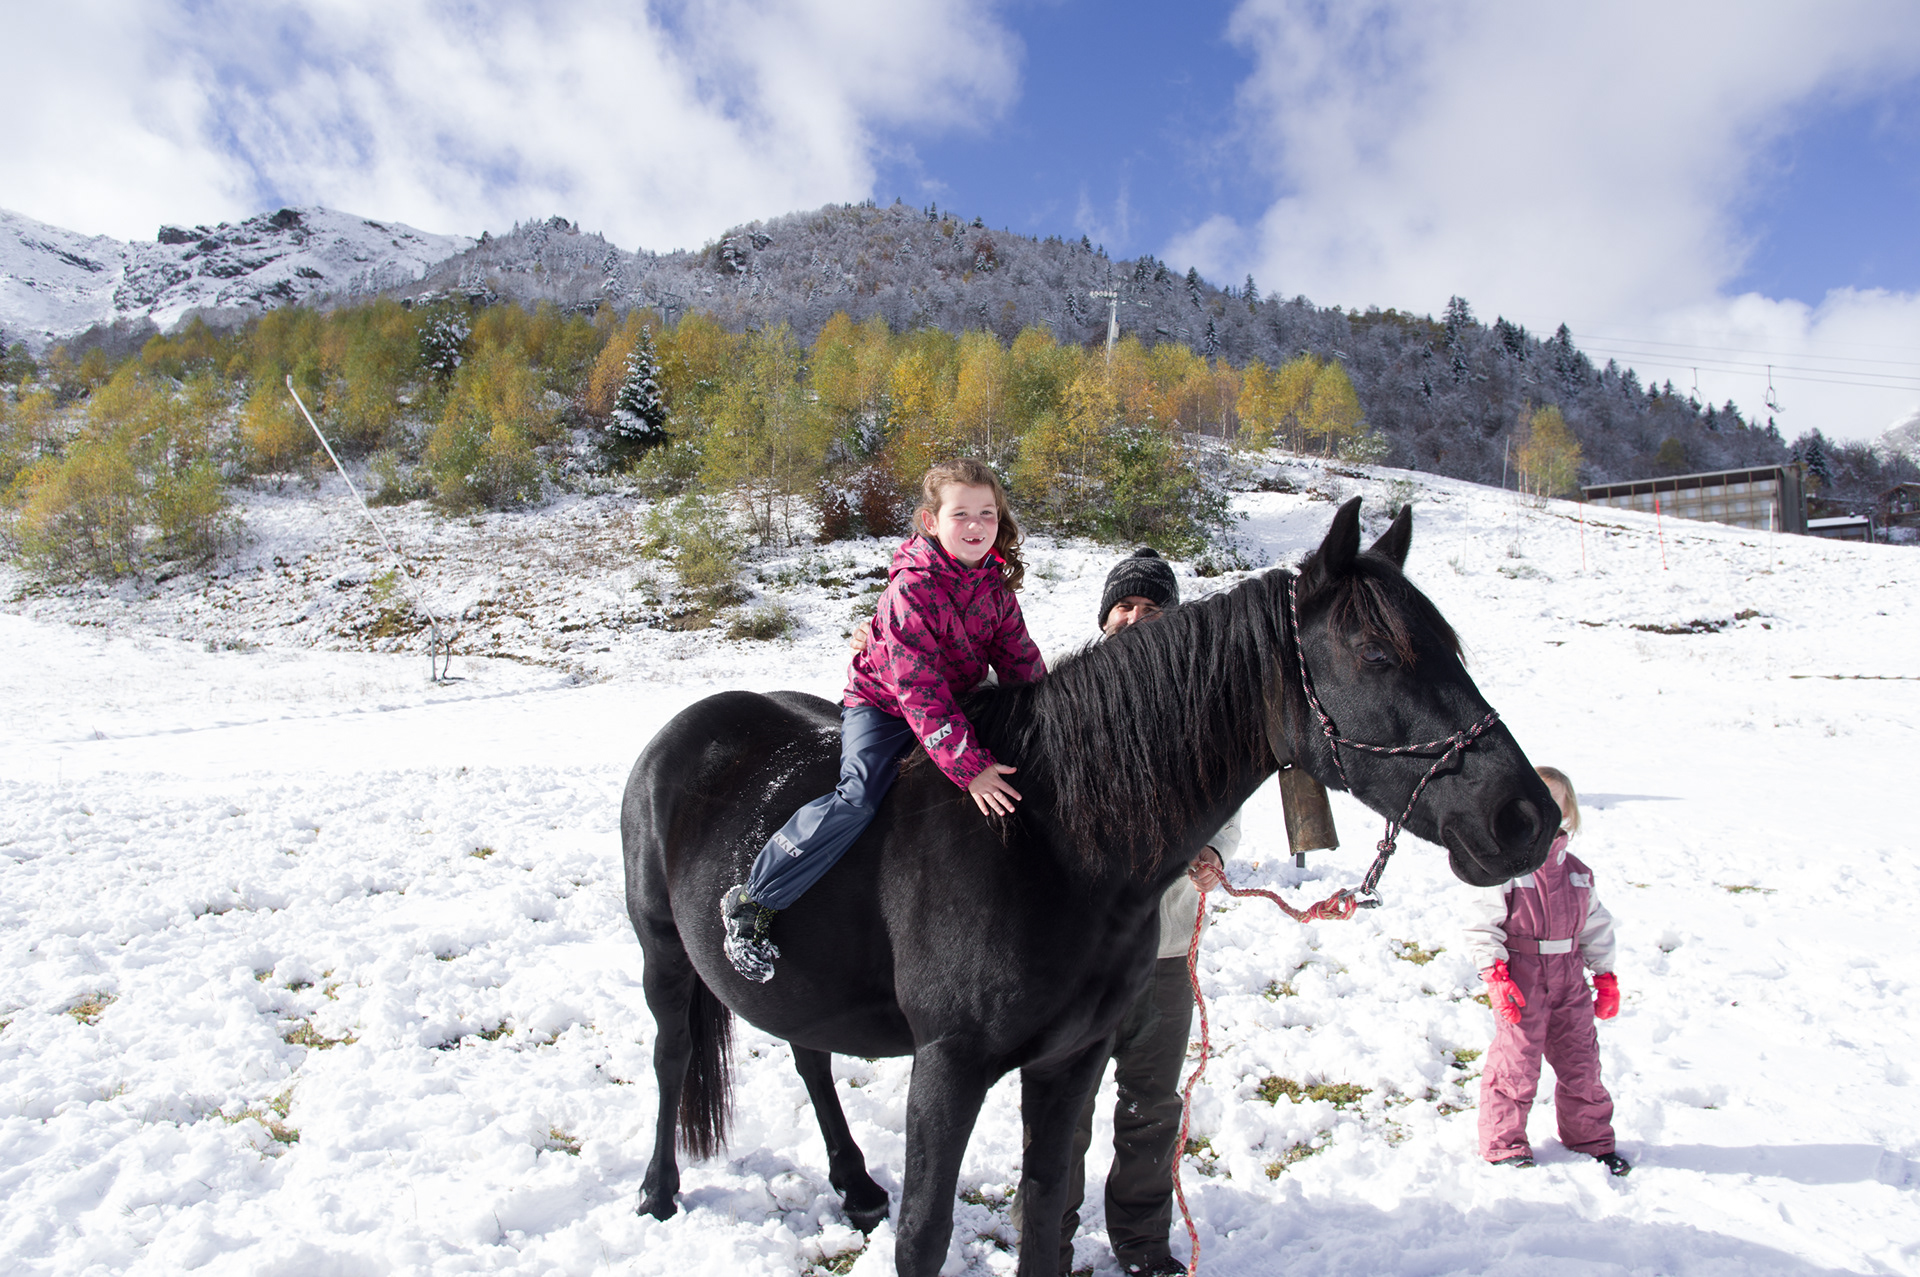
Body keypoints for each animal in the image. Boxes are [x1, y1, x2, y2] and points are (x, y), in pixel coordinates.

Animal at [621, 498, 1557, 1276]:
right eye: (1376, 653)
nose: (1528, 816)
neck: (1052, 839)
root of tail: (683, 731)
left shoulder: (1073, 1058)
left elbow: (1044, 1213)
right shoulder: (949, 1063)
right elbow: (924, 1235)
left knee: (809, 1053)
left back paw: (852, 1183)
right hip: (662, 955)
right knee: (673, 1055)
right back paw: (658, 1192)